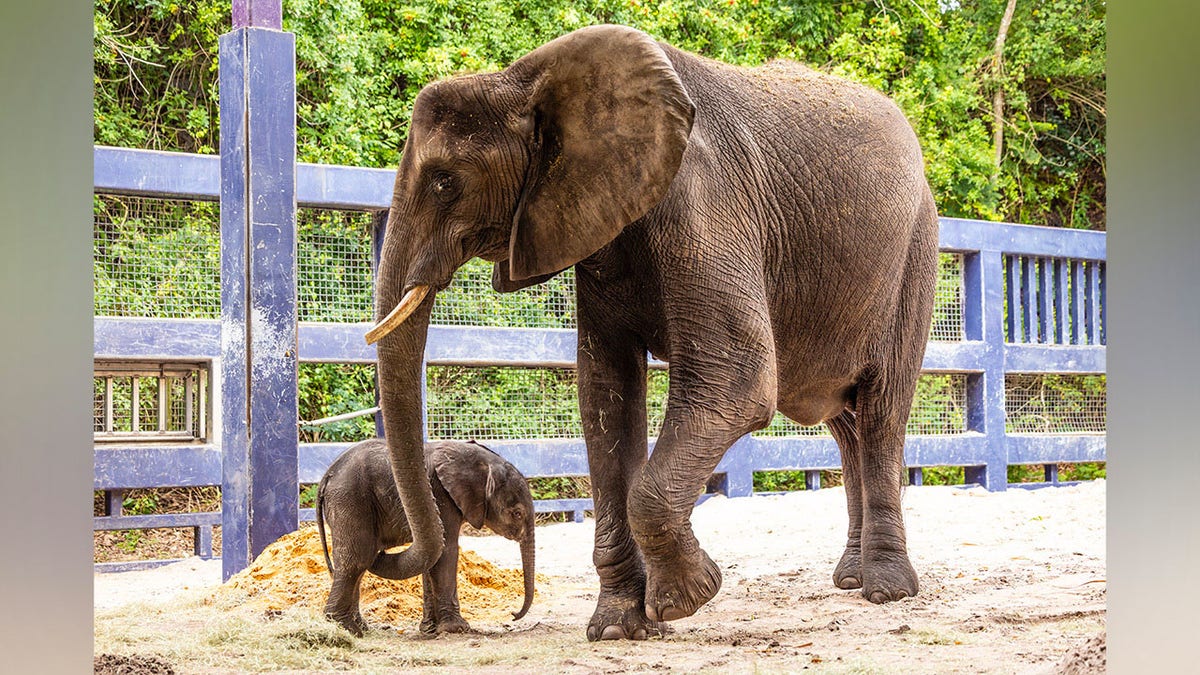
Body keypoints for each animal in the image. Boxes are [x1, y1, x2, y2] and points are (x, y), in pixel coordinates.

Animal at [314, 439, 535, 634]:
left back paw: (360, 627)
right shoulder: (440, 496)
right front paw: (457, 629)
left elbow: (433, 559)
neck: (481, 462)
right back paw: (346, 628)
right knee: (357, 559)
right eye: (517, 513)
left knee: (360, 562)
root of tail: (327, 476)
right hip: (350, 500)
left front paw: (430, 629)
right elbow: (446, 551)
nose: (513, 615)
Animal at [364, 23, 936, 638]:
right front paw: (620, 628)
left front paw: (688, 597)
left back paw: (885, 591)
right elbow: (605, 396)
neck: (525, 79)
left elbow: (736, 381)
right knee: (845, 421)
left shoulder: (705, 204)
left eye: (445, 183)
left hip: (915, 254)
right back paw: (850, 579)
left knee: (880, 411)